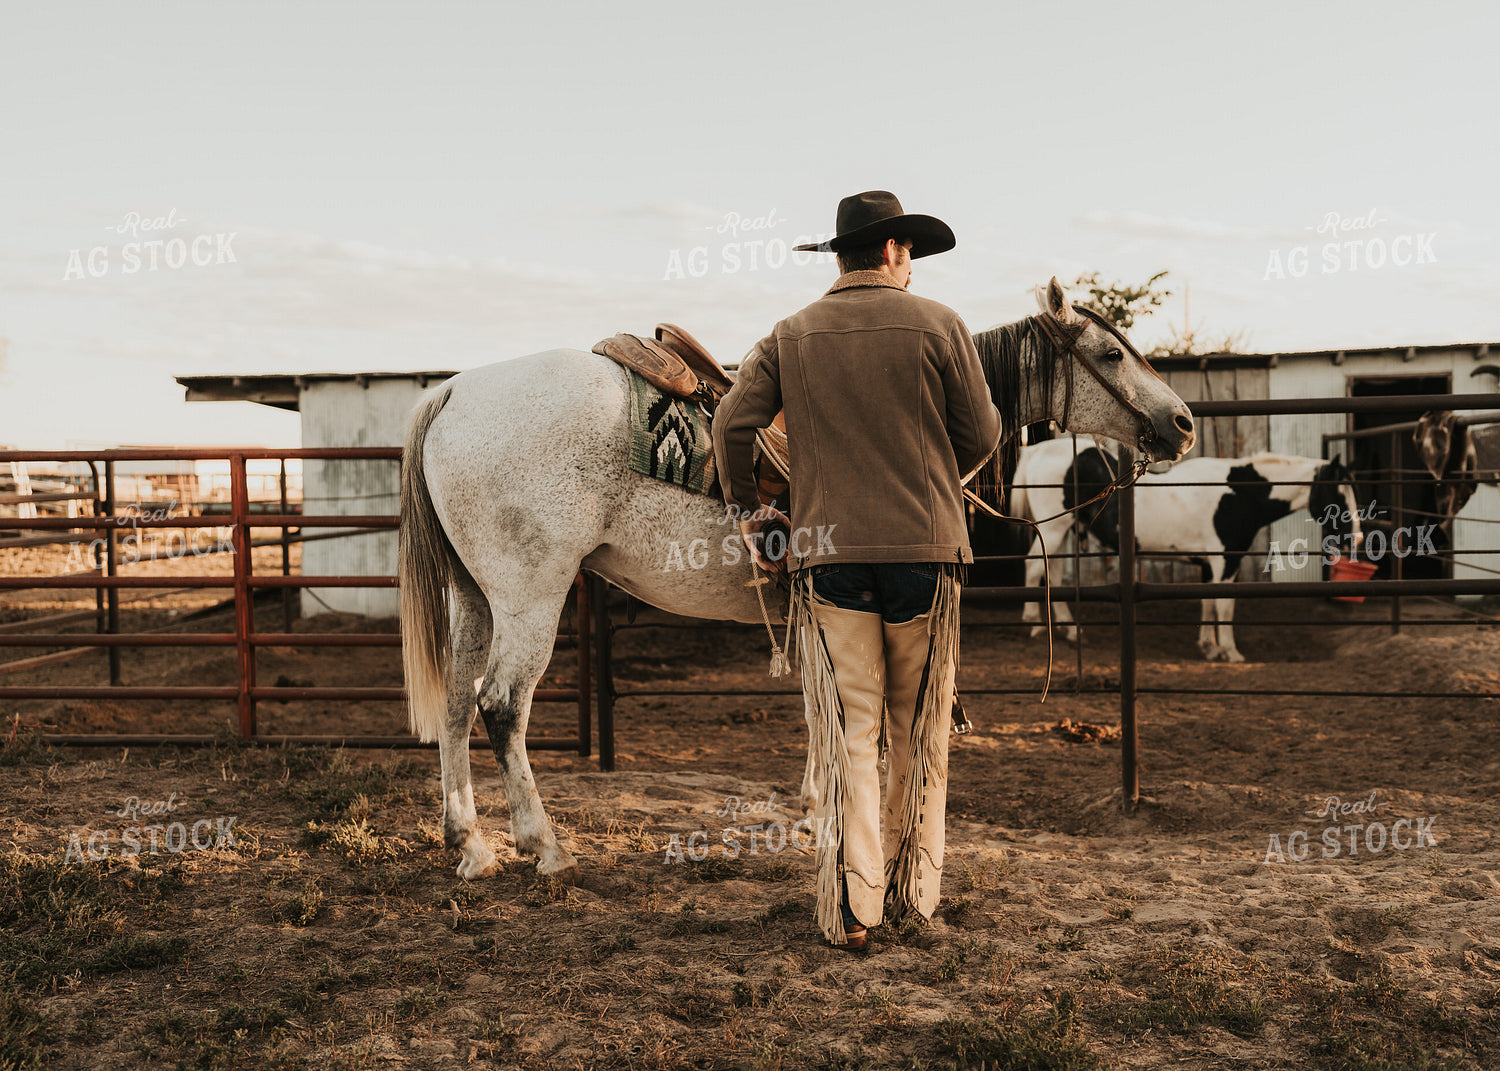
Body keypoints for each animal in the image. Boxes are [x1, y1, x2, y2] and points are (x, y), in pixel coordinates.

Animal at [399, 277, 1195, 881]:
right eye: (1110, 352)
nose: (1183, 423)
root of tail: (453, 394)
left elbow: (823, 709)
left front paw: (818, 807)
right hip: (530, 597)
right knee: (502, 707)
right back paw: (545, 846)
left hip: (474, 598)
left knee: (458, 704)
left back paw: (469, 843)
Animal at [1011, 435, 1363, 662]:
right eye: (1338, 495)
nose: (1357, 538)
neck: (1239, 494)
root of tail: (1036, 451)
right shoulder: (1226, 561)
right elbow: (1224, 606)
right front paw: (1230, 652)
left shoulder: (1209, 564)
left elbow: (1207, 602)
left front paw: (1208, 647)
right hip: (1053, 528)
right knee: (1033, 566)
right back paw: (1033, 624)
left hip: (1063, 530)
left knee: (1054, 573)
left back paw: (1070, 630)